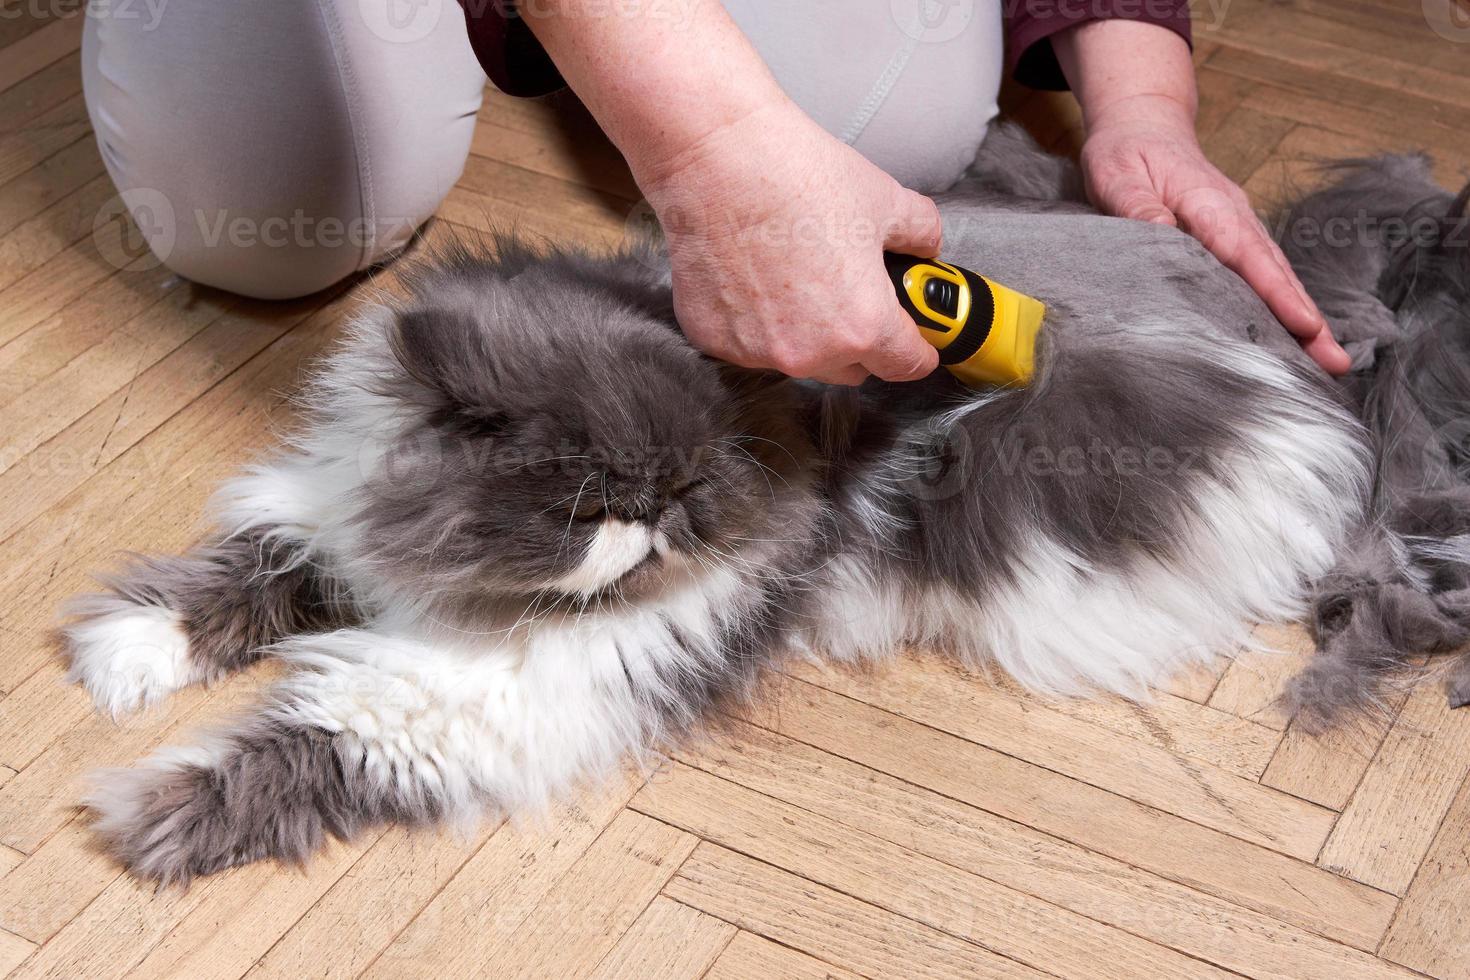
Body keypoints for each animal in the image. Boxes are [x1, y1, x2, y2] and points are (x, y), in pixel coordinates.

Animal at [63, 122, 1470, 881]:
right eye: (590, 497)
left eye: (690, 493)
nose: (653, 520)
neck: (449, 583)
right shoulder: (333, 515)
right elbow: (237, 582)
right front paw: (122, 657)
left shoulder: (477, 699)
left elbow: (291, 745)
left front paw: (148, 819)